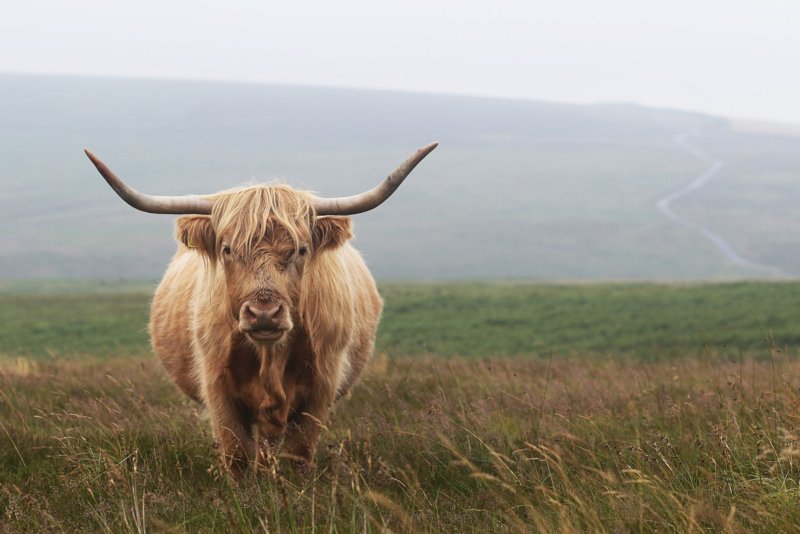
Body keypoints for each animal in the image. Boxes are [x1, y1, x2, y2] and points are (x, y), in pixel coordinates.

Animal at [81, 144, 438, 476]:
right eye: (227, 249)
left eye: (301, 250)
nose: (264, 313)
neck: (271, 359)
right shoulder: (216, 385)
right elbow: (237, 453)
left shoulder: (322, 385)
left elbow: (298, 453)